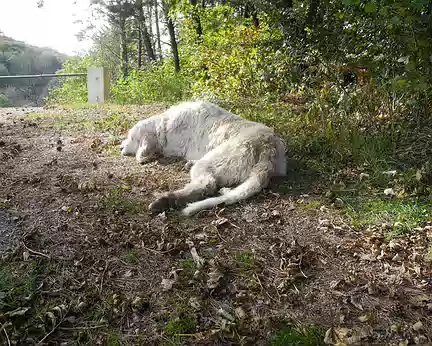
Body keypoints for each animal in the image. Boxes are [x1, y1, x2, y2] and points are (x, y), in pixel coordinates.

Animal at [120, 100, 286, 215]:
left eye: (131, 137)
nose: (120, 147)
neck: (165, 125)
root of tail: (268, 150)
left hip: (211, 161)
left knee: (207, 184)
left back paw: (166, 200)